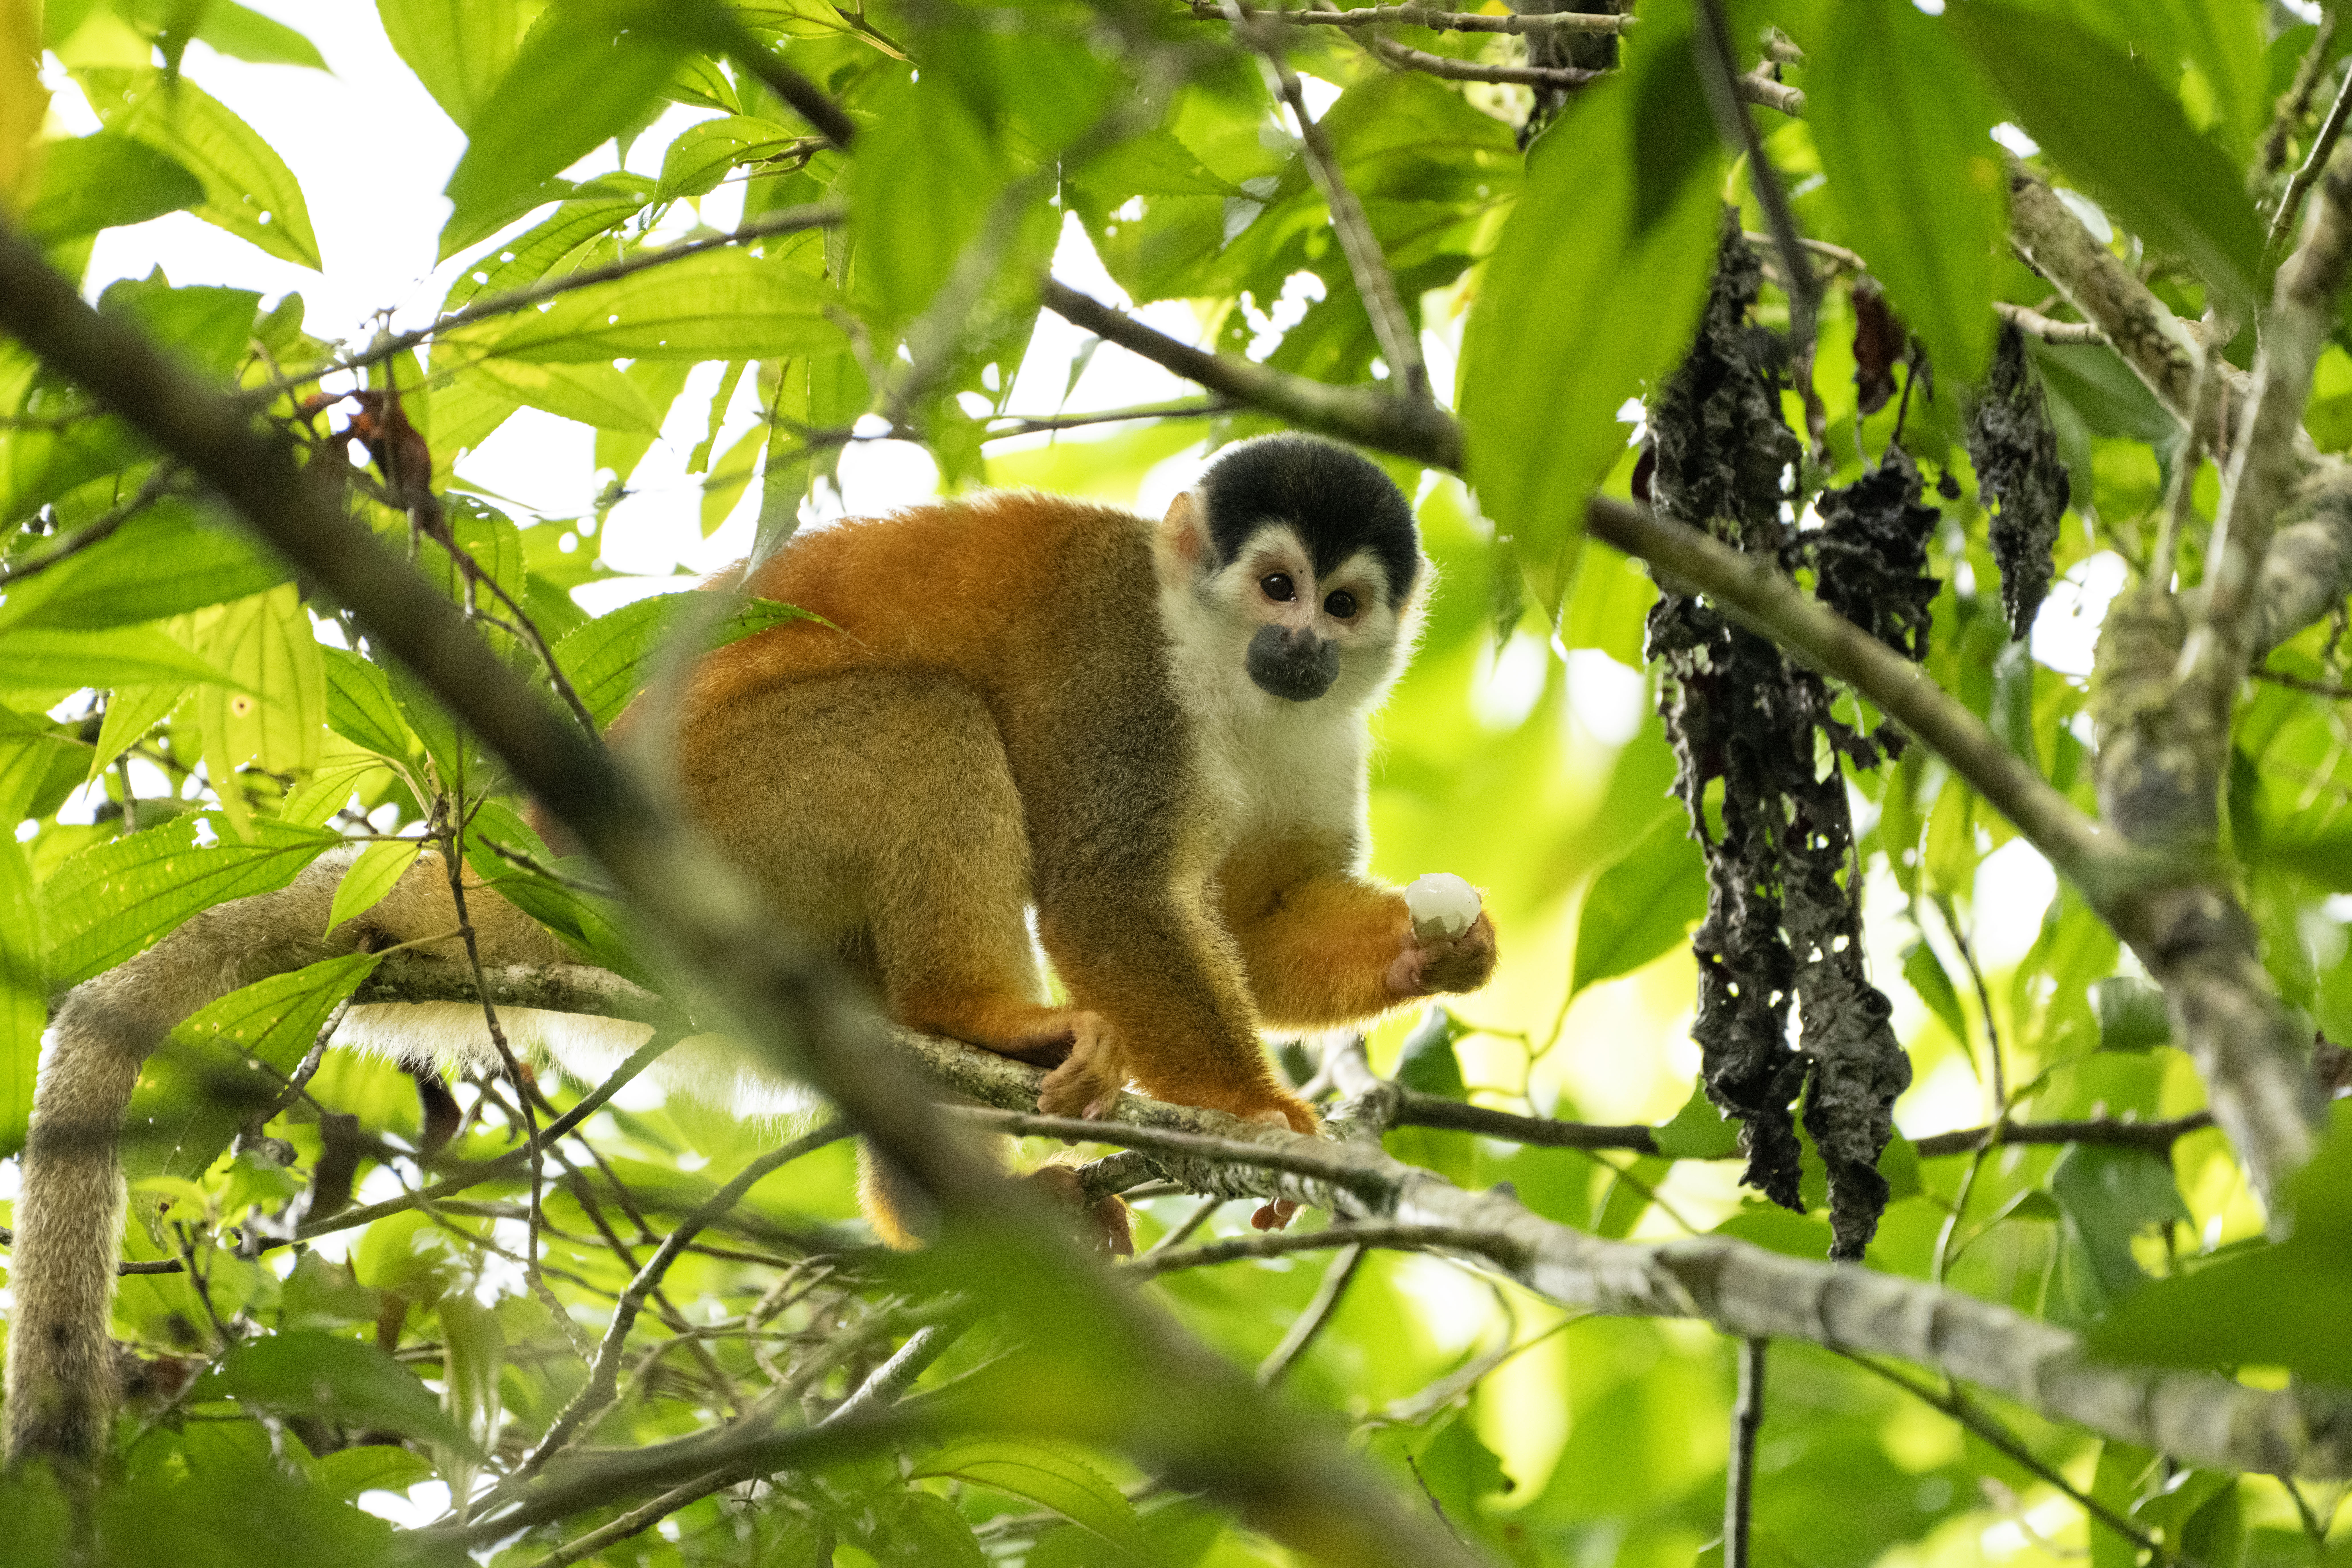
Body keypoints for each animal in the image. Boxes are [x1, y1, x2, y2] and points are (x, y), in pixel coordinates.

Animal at [3, 432, 1498, 1469]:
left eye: (1344, 603)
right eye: (1273, 582)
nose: (1300, 643)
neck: (1225, 676)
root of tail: (547, 850)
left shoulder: (1320, 732)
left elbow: (1255, 916)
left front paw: (1436, 952)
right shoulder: (1121, 668)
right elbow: (1111, 893)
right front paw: (1257, 1110)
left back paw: (937, 1184)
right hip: (727, 815)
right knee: (925, 715)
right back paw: (981, 1019)